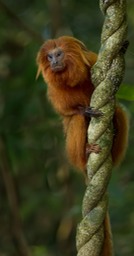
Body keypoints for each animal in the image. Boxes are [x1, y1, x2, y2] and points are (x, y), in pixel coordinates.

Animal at [36, 36, 129, 256]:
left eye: (58, 54)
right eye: (49, 57)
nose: (54, 62)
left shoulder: (92, 61)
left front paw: (122, 48)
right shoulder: (54, 90)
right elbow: (67, 112)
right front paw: (84, 111)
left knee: (118, 111)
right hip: (74, 155)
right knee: (76, 121)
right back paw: (86, 151)